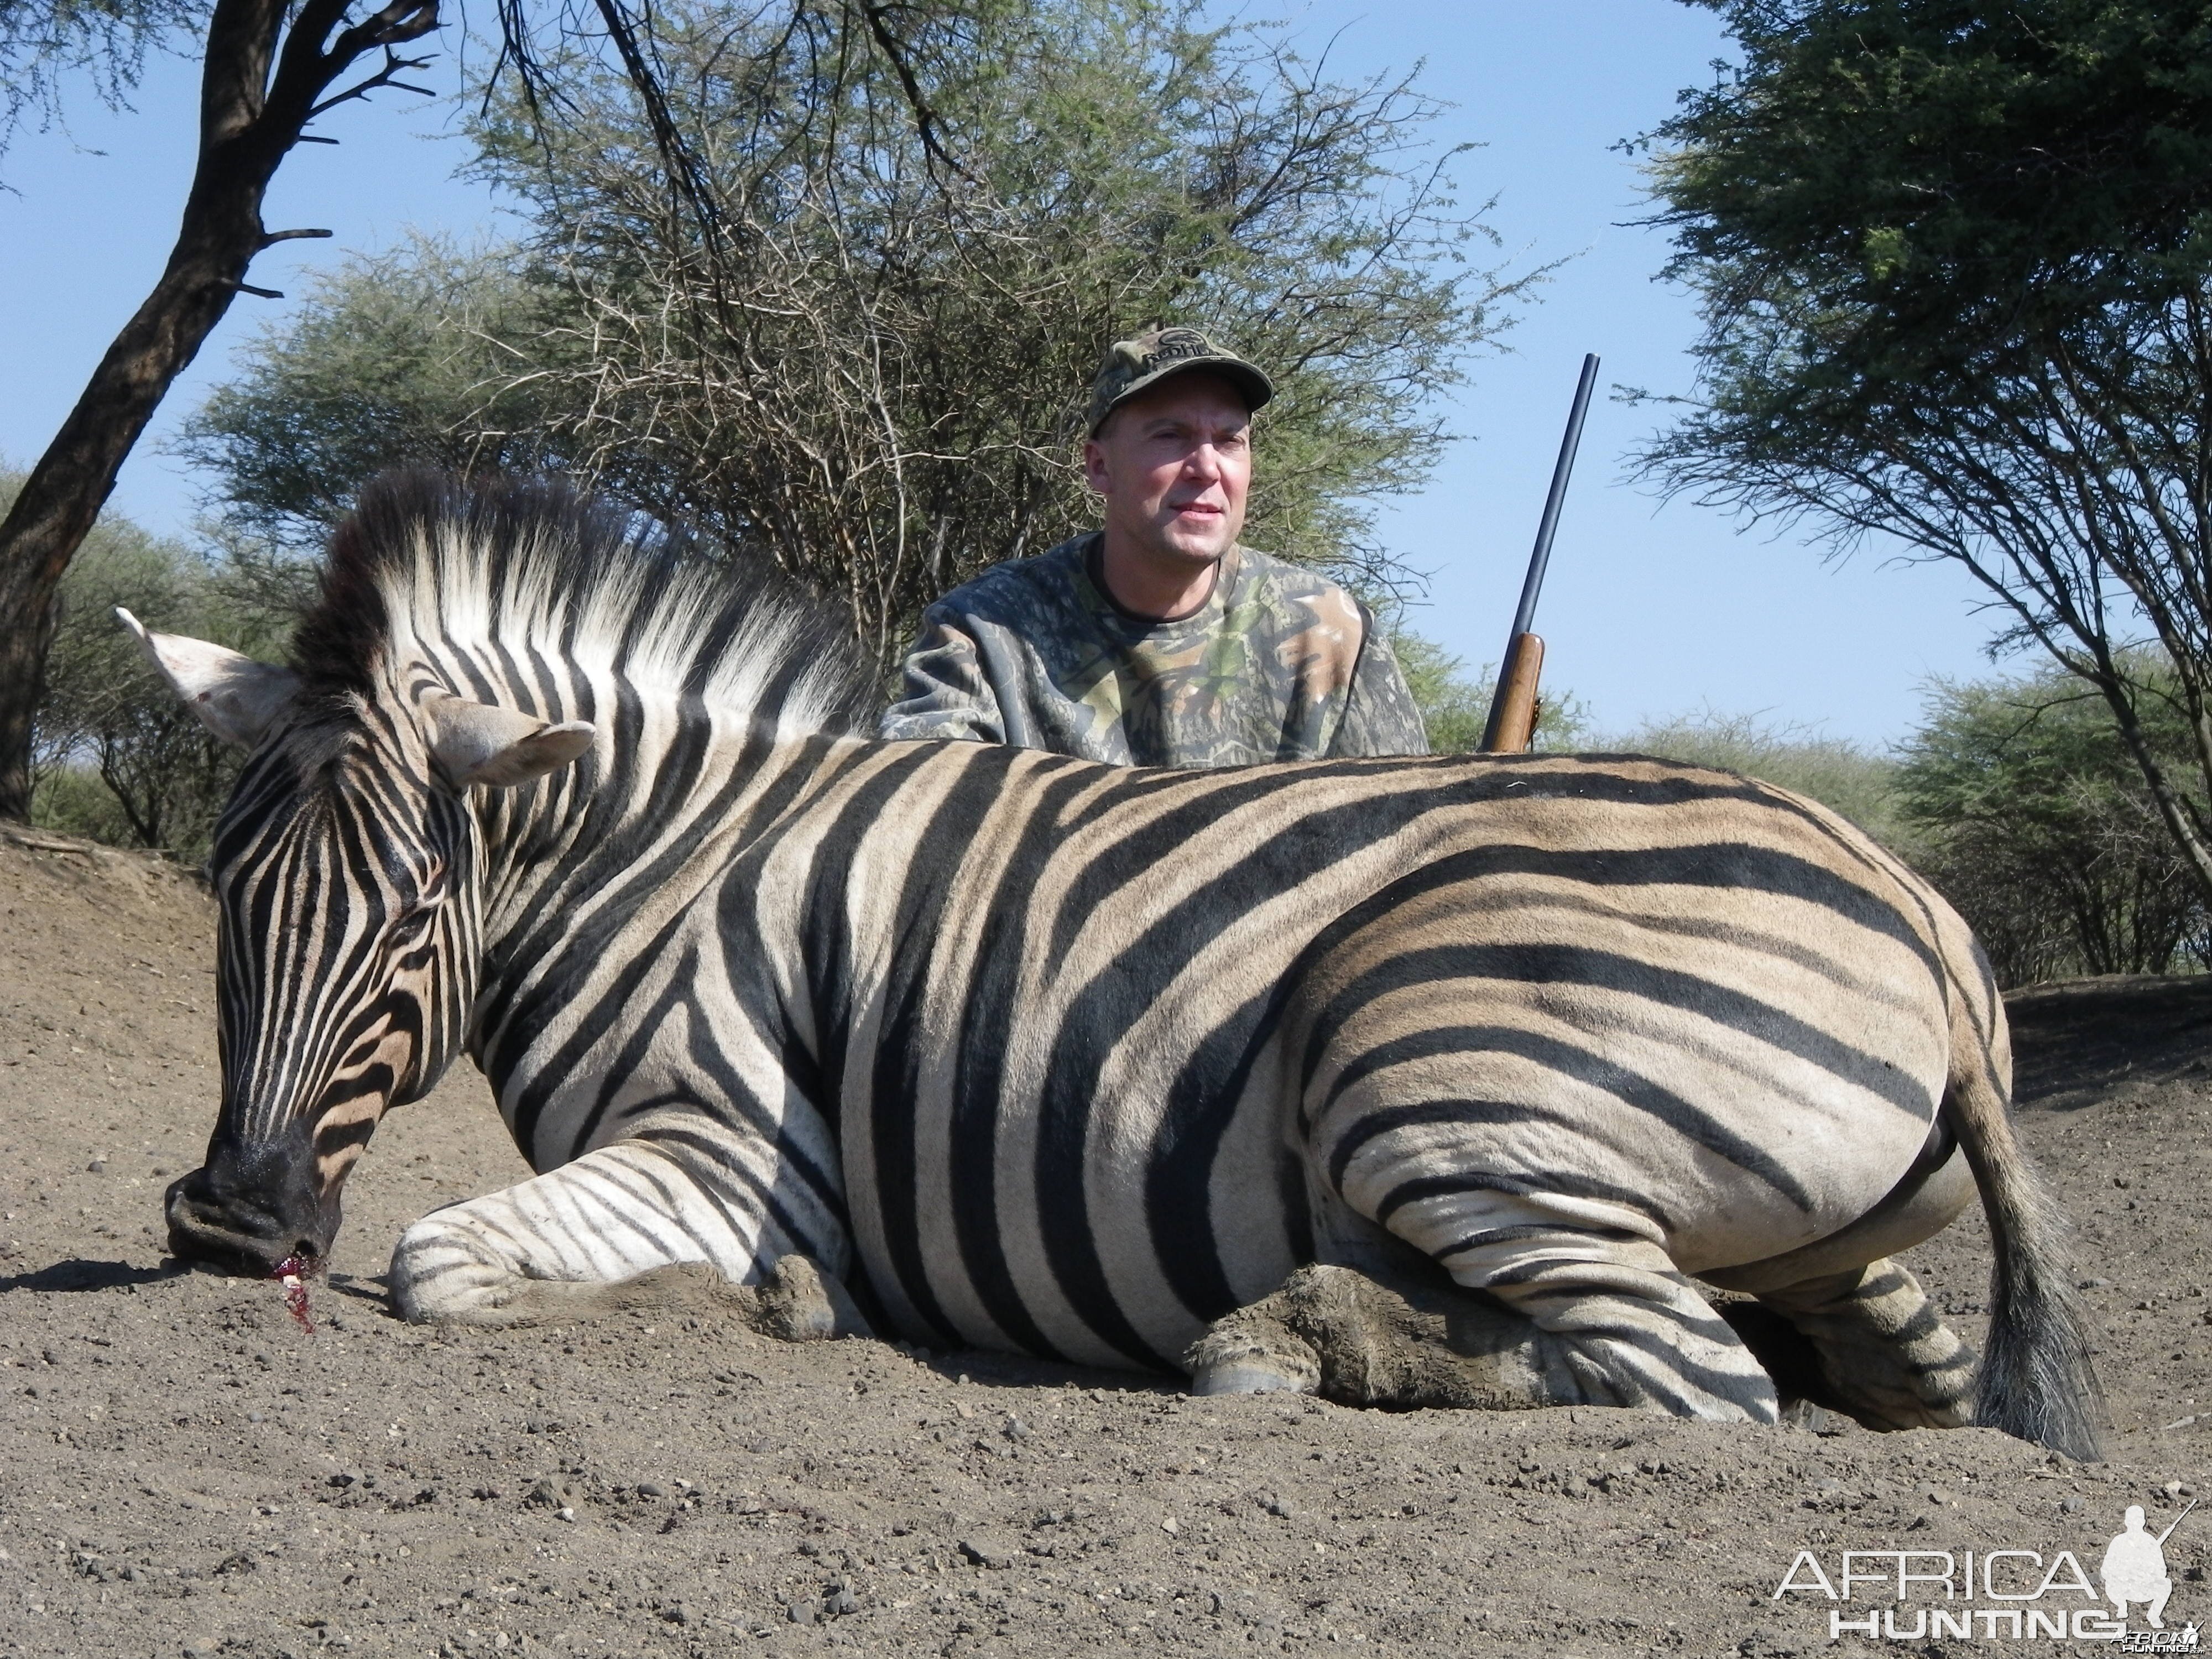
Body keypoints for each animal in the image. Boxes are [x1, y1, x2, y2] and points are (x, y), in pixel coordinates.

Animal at [138, 473, 2106, 1460]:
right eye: (226, 887)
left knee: (1697, 1385)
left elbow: (436, 1261)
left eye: (411, 905)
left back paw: (1300, 1347)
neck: (667, 863)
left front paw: (772, 1303)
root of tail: (1916, 909)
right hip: (1830, 1247)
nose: (228, 1221)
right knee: (1880, 1377)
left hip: (1418, 1061)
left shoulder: (725, 1152)